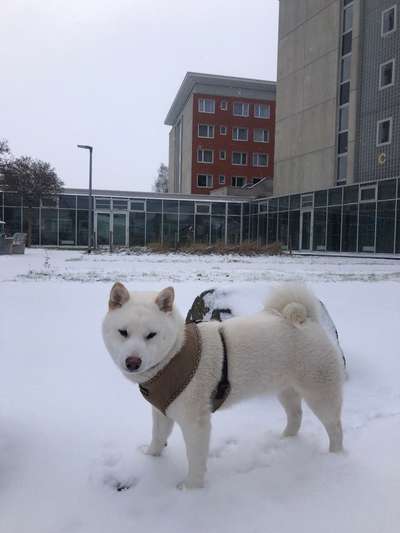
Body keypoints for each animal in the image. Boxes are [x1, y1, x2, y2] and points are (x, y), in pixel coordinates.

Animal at [102, 284, 344, 488]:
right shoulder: (162, 411)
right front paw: (150, 458)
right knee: (296, 416)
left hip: (320, 393)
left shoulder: (195, 423)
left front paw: (191, 488)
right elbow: (158, 437)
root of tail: (308, 319)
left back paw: (335, 456)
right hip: (285, 389)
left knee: (334, 427)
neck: (174, 355)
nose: (133, 362)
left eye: (151, 335)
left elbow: (195, 458)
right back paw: (286, 439)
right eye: (123, 332)